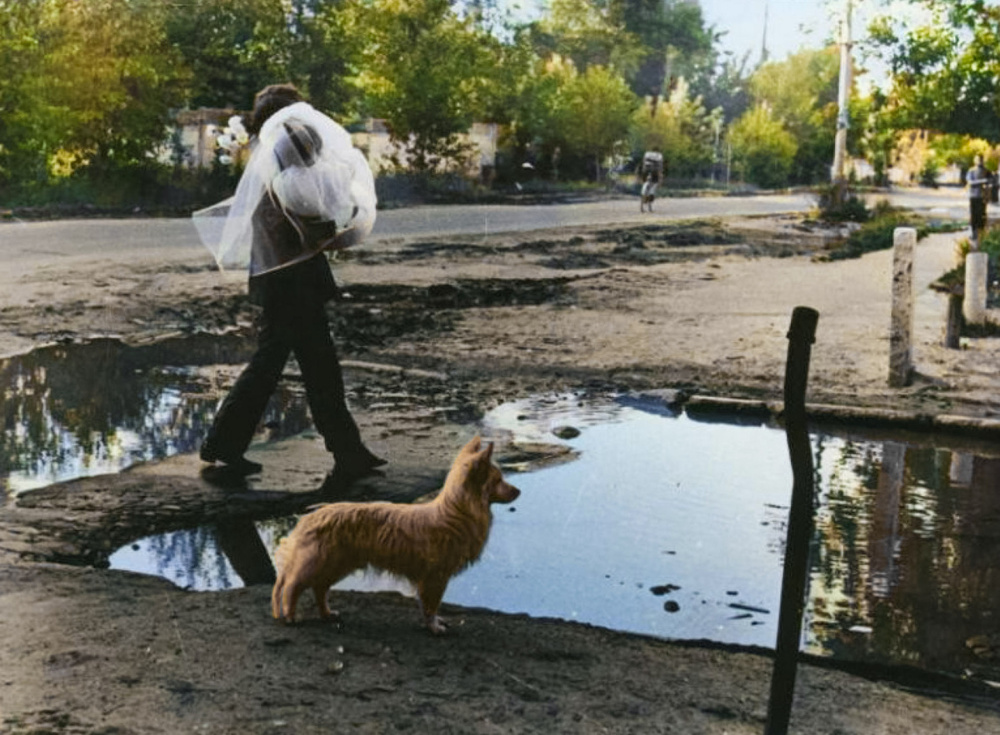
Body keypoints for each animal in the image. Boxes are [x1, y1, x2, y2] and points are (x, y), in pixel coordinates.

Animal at [274, 436, 524, 632]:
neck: (456, 512)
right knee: (293, 585)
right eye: (498, 480)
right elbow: (431, 605)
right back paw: (290, 615)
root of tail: (310, 517)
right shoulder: (435, 576)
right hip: (319, 561)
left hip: (336, 563)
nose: (519, 491)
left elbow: (427, 605)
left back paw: (326, 613)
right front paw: (433, 626)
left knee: (319, 588)